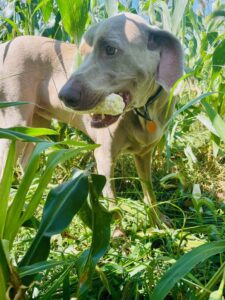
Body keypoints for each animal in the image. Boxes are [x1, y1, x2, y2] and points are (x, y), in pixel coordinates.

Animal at [0, 12, 183, 226]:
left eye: (110, 49)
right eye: (83, 53)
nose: (64, 96)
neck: (144, 110)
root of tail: (7, 43)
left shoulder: (144, 154)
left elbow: (149, 191)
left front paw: (158, 220)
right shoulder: (104, 155)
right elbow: (112, 203)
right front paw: (117, 231)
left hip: (37, 123)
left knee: (26, 158)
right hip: (16, 122)